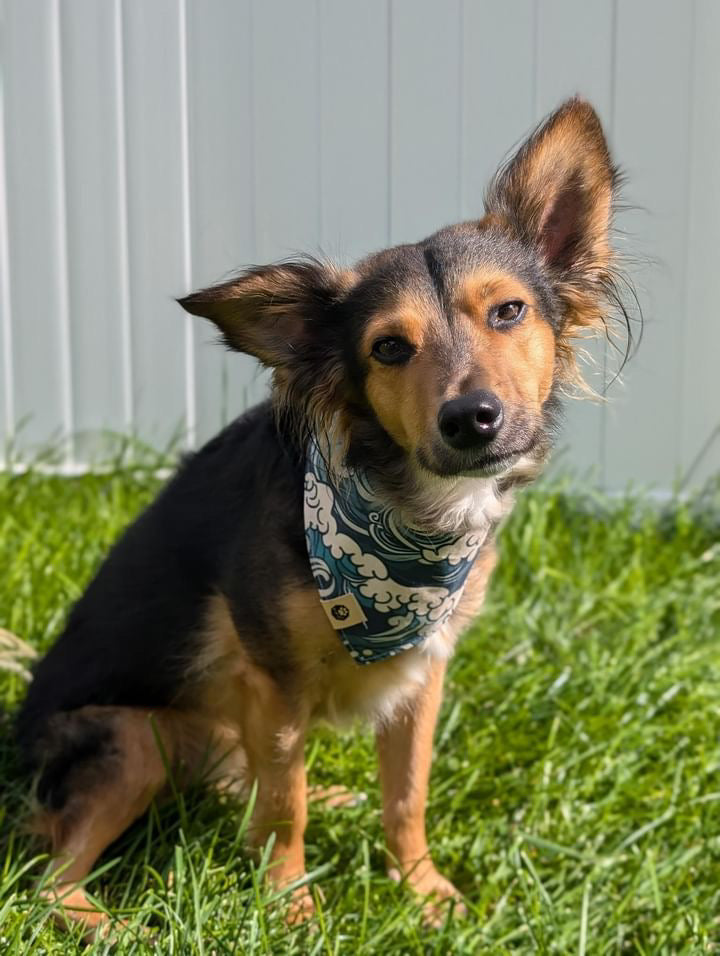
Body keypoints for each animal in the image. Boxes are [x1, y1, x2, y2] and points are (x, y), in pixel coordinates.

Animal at [12, 97, 632, 932]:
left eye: (509, 311)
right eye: (389, 348)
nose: (473, 419)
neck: (405, 513)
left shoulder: (424, 668)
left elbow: (406, 796)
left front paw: (421, 890)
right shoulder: (273, 678)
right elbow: (285, 806)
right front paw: (290, 905)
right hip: (132, 737)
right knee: (47, 882)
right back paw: (112, 927)